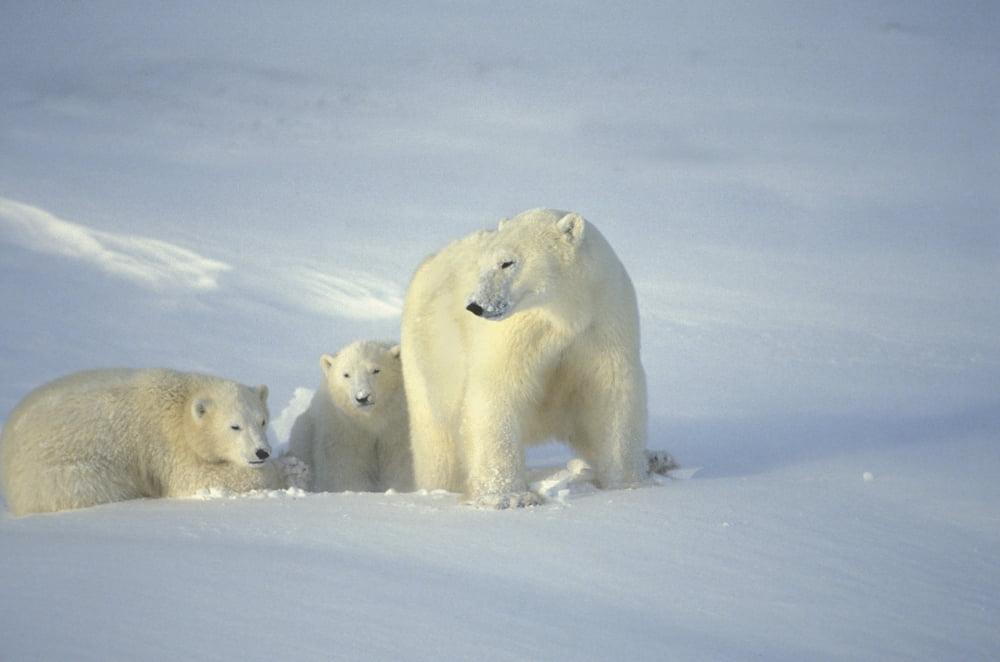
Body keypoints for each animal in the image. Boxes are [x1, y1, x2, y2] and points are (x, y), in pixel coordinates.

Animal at [0, 368, 308, 516]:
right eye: (235, 426)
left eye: (263, 420)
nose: (261, 452)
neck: (181, 400)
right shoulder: (164, 442)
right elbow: (193, 478)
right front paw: (292, 469)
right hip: (69, 474)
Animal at [287, 340, 413, 493]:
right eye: (346, 374)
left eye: (376, 370)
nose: (362, 397)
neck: (372, 419)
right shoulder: (344, 429)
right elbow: (347, 465)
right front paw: (353, 489)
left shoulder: (397, 425)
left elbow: (400, 461)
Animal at [400, 207, 651, 508]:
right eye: (483, 264)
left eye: (507, 262)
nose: (475, 305)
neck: (565, 313)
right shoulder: (517, 333)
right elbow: (497, 393)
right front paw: (508, 497)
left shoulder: (604, 321)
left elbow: (612, 393)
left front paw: (628, 483)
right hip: (427, 364)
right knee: (435, 445)